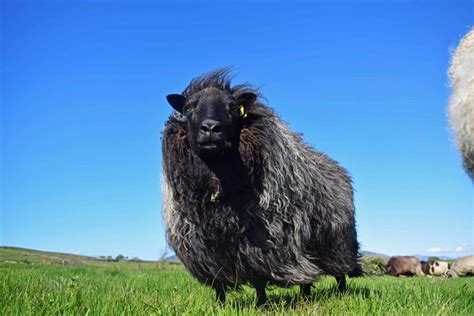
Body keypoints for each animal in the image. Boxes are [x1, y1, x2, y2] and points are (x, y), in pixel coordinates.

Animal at [161, 69, 362, 306]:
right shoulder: (204, 246)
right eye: (189, 107)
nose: (210, 128)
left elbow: (258, 277)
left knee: (337, 272)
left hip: (335, 242)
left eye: (232, 107)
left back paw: (338, 293)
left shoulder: (263, 239)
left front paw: (262, 305)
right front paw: (220, 305)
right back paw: (306, 296)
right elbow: (218, 280)